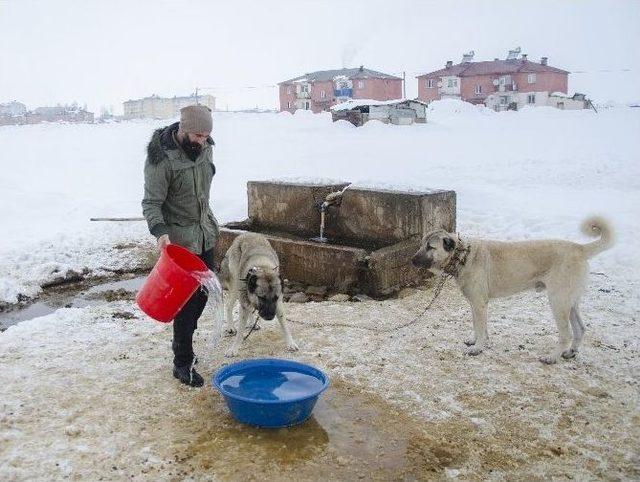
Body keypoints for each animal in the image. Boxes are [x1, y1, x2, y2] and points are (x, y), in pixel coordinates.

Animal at [412, 217, 612, 364]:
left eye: (430, 247)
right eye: (421, 244)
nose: (412, 260)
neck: (463, 256)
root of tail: (580, 248)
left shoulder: (478, 303)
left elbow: (479, 327)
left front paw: (477, 348)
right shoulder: (478, 304)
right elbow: (480, 326)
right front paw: (479, 342)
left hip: (558, 302)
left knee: (566, 334)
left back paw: (552, 358)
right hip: (570, 303)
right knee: (580, 328)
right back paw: (571, 352)